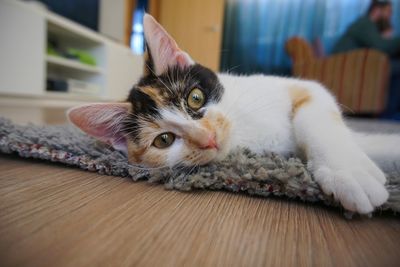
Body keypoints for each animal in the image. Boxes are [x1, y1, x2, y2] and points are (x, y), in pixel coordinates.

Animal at [67, 14, 392, 216]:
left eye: (195, 98)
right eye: (163, 140)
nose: (208, 137)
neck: (242, 130)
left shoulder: (306, 89)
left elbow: (316, 120)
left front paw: (347, 171)